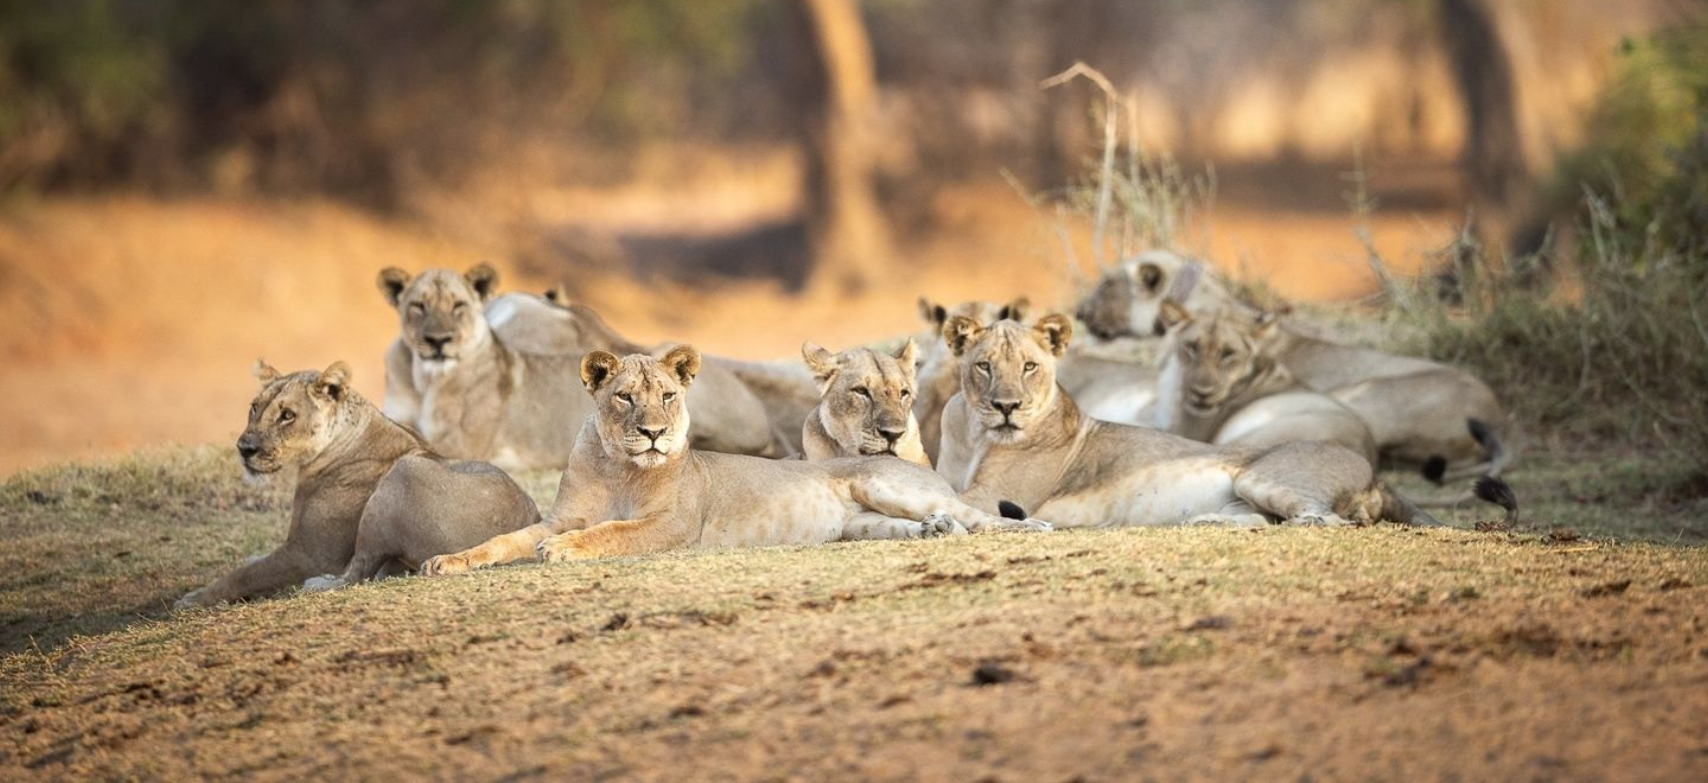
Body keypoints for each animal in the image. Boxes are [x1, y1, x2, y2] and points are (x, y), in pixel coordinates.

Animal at [174, 361, 539, 609]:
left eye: (288, 415)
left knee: (357, 573)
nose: (244, 448)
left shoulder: (309, 553)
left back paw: (317, 584)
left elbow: (245, 575)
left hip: (402, 474)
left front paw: (192, 599)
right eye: (254, 408)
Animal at [934, 313, 1519, 528]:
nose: (1006, 406)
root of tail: (1375, 471)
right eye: (985, 365)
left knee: (1327, 521)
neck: (973, 432)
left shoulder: (994, 495)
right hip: (1247, 494)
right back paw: (1204, 522)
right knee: (1265, 521)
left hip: (1263, 475)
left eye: (1030, 366)